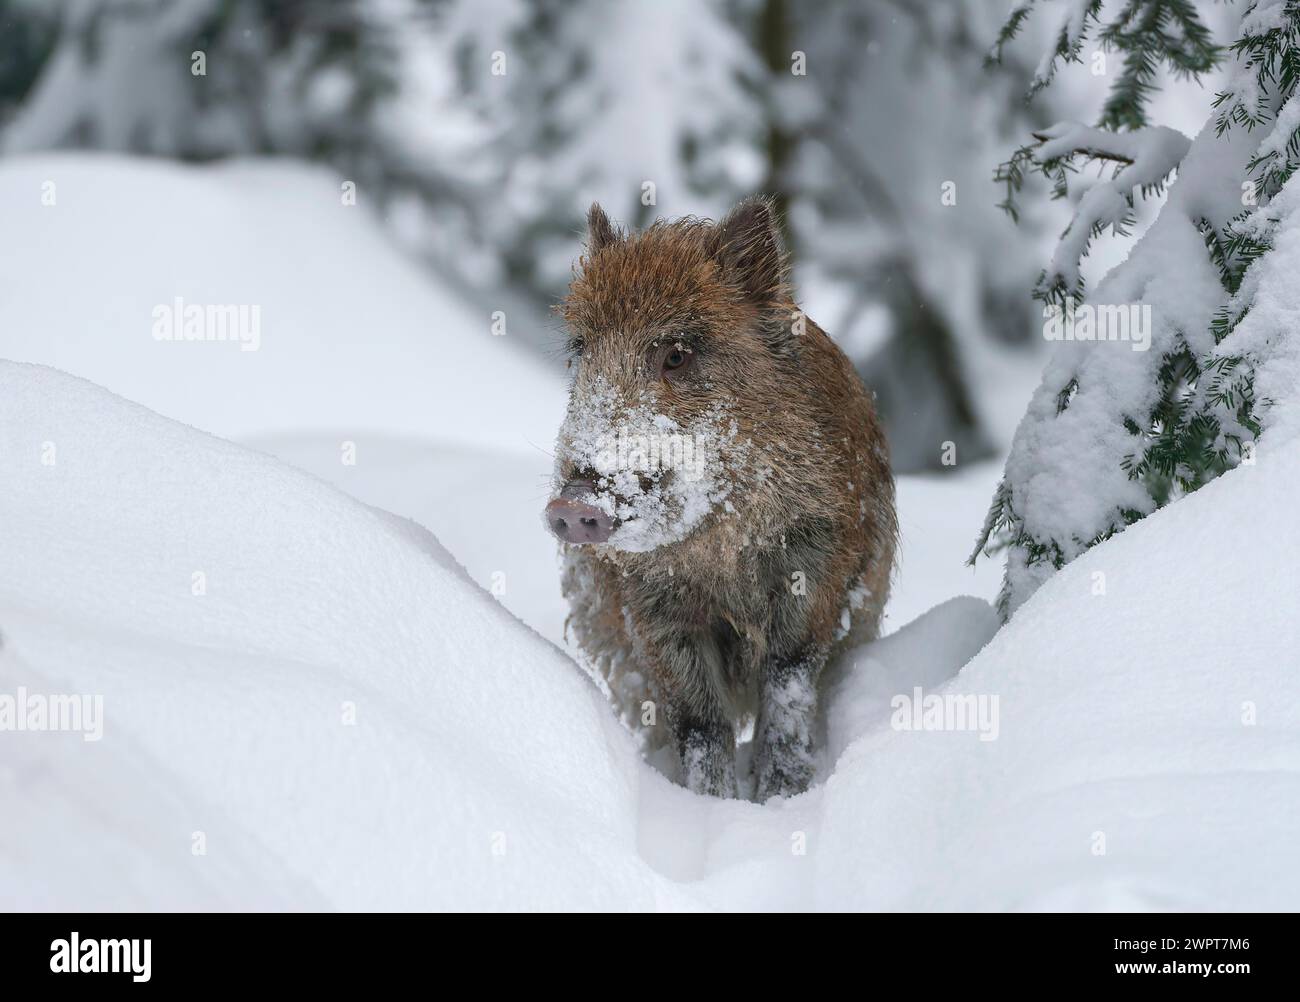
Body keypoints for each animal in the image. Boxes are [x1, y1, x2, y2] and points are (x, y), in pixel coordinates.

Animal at [544, 197, 896, 800]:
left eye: (677, 355)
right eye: (582, 350)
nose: (572, 507)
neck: (722, 547)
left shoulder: (820, 561)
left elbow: (788, 682)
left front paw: (781, 798)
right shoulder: (652, 609)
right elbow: (699, 722)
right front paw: (712, 807)